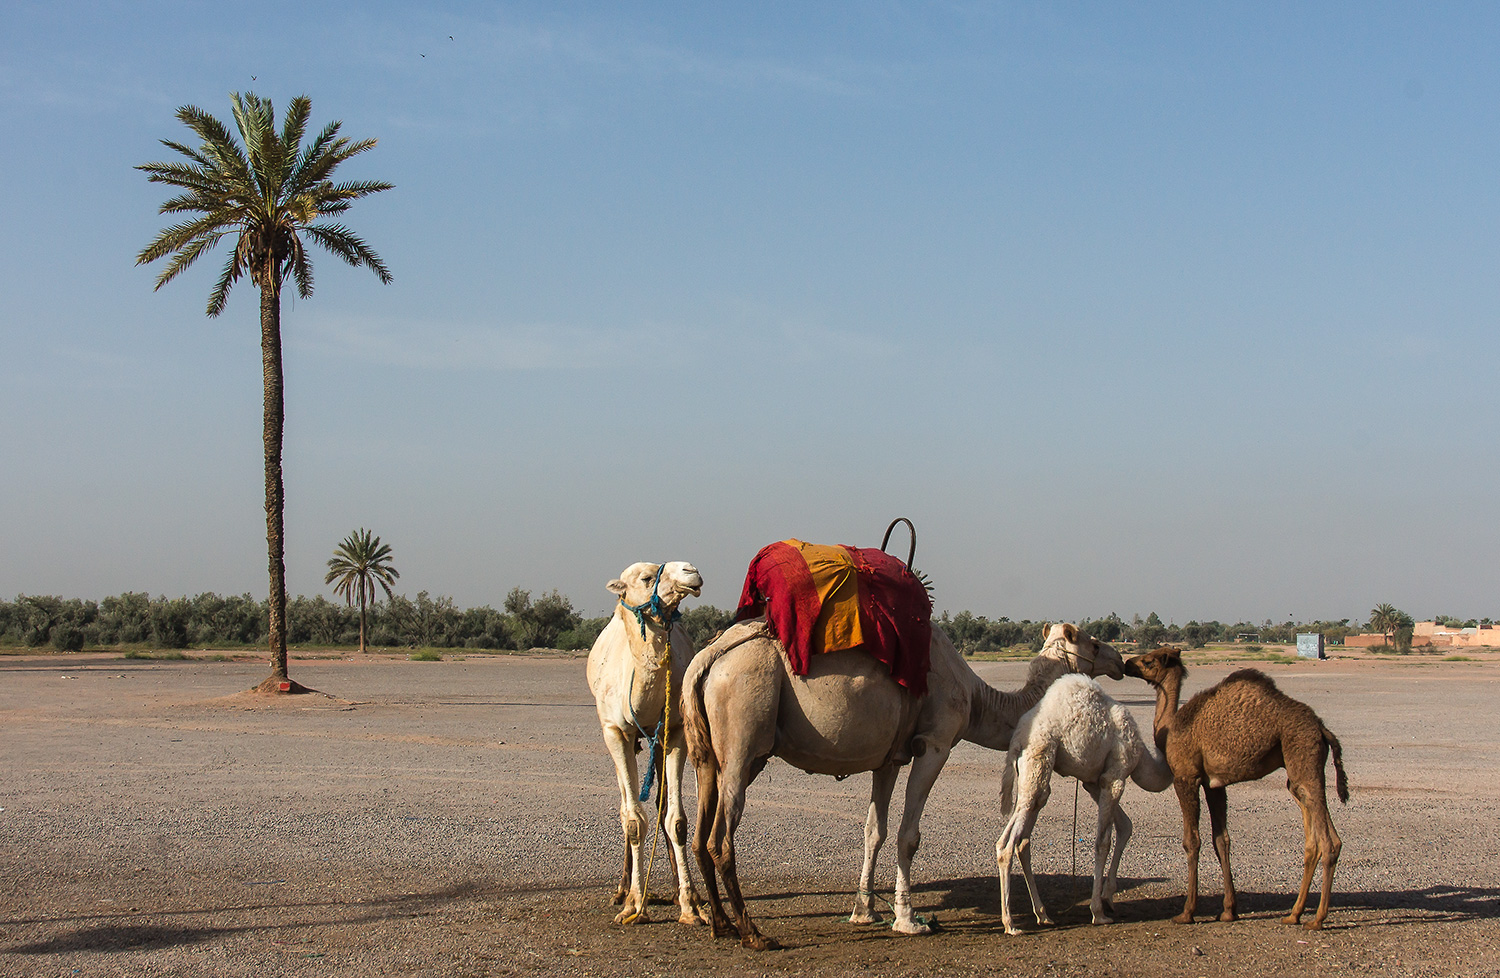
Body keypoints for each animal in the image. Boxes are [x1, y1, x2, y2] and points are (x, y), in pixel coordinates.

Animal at [582, 561, 705, 930]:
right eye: (646, 578)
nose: (691, 570)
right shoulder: (615, 732)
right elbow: (634, 819)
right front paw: (635, 905)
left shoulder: (675, 731)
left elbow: (676, 819)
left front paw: (690, 905)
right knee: (626, 806)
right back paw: (623, 890)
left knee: (662, 808)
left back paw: (683, 890)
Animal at [681, 543, 1128, 948]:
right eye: (1092, 643)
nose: (1121, 661)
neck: (975, 696)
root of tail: (709, 656)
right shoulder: (935, 744)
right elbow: (908, 834)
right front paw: (908, 919)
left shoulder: (888, 758)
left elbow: (873, 830)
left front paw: (864, 911)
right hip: (743, 733)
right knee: (721, 837)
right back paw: (752, 933)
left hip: (709, 753)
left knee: (701, 831)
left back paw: (719, 923)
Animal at [996, 672, 1170, 930]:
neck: (1144, 757)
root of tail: (1017, 740)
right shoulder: (1116, 776)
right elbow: (1102, 841)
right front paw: (1098, 912)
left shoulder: (1093, 782)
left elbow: (1125, 826)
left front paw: (1108, 898)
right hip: (1039, 760)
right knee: (1007, 844)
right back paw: (1011, 924)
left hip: (1034, 777)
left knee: (1023, 839)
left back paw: (1043, 915)